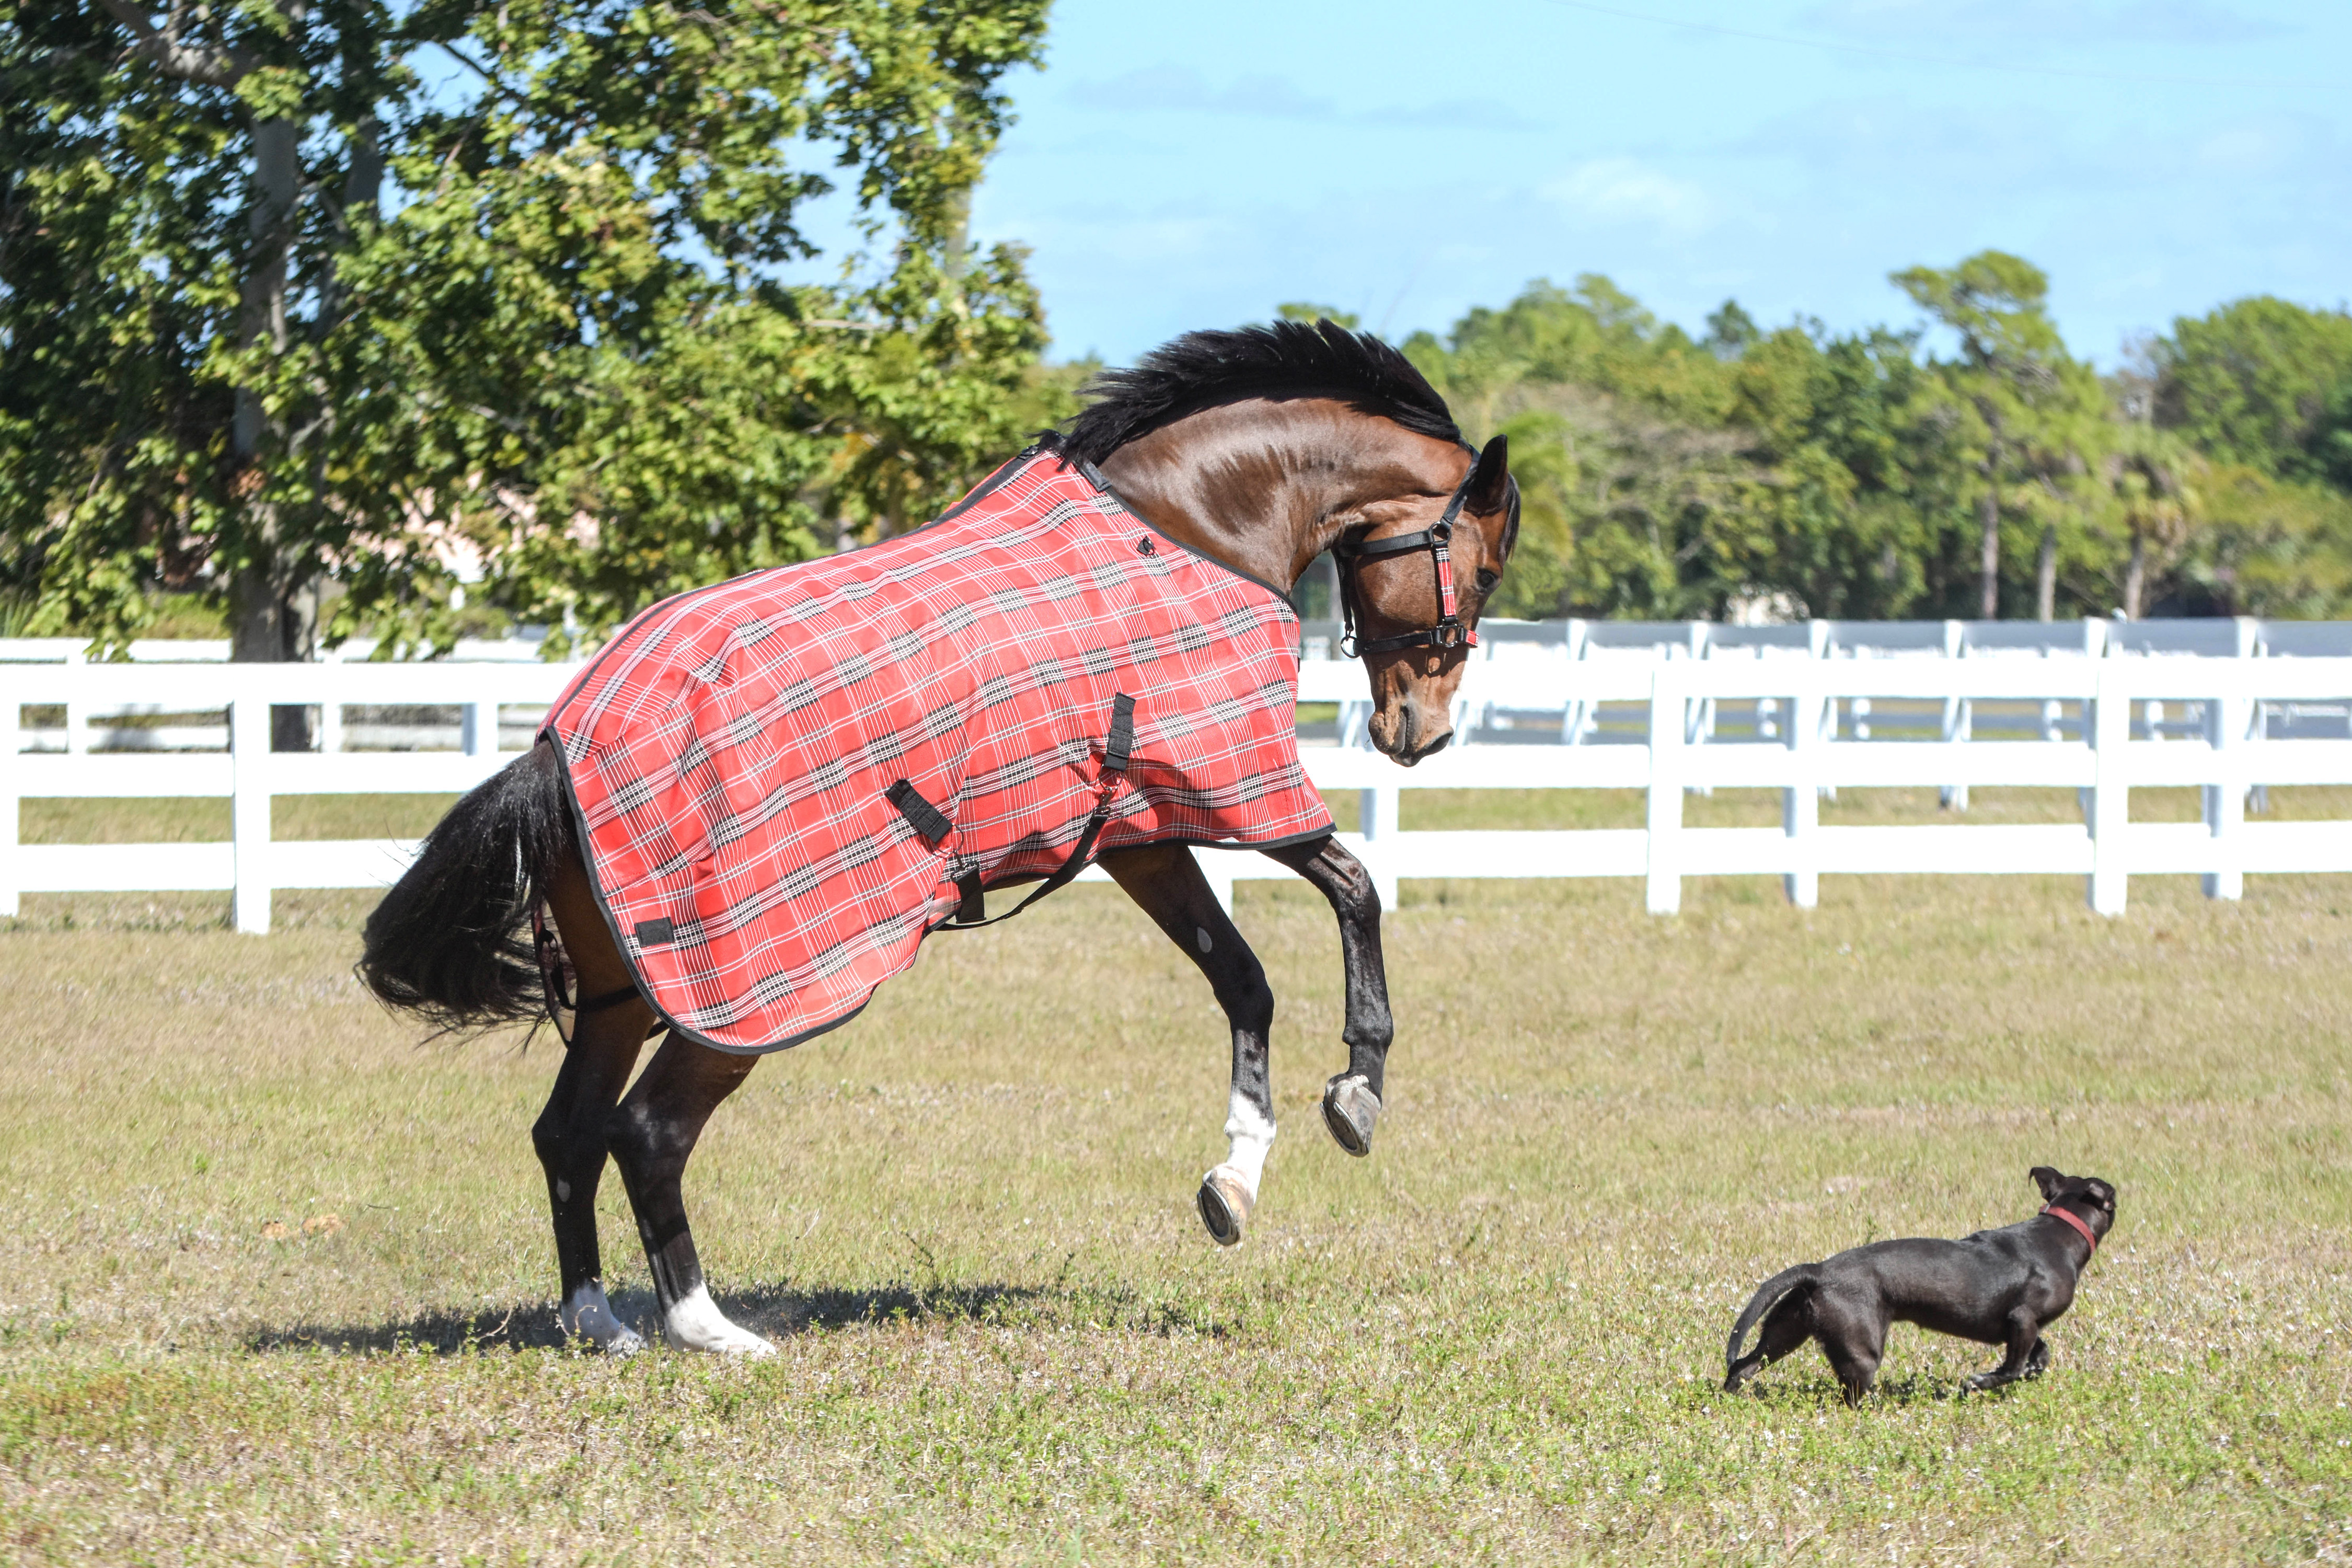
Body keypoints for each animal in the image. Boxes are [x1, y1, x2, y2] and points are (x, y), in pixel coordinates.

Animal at [358, 320, 1519, 1356]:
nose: (1420, 732)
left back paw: (598, 1323)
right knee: (648, 1133)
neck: (1185, 526)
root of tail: (557, 748)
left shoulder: (1140, 833)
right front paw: (1359, 1094)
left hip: (620, 989)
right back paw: (711, 1331)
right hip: (747, 998)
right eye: (1485, 569)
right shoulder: (1232, 789)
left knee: (568, 1132)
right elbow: (1354, 888)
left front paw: (1235, 1179)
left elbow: (1244, 982)